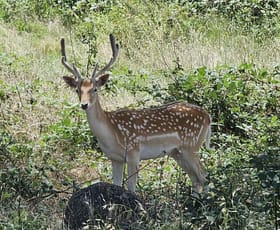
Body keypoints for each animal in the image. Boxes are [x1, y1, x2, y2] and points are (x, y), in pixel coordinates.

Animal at [60, 34, 210, 194]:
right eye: (77, 90)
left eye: (94, 89)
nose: (84, 104)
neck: (111, 132)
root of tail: (208, 116)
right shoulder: (115, 158)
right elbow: (117, 184)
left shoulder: (133, 152)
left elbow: (131, 189)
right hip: (177, 152)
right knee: (195, 179)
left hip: (192, 146)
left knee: (204, 176)